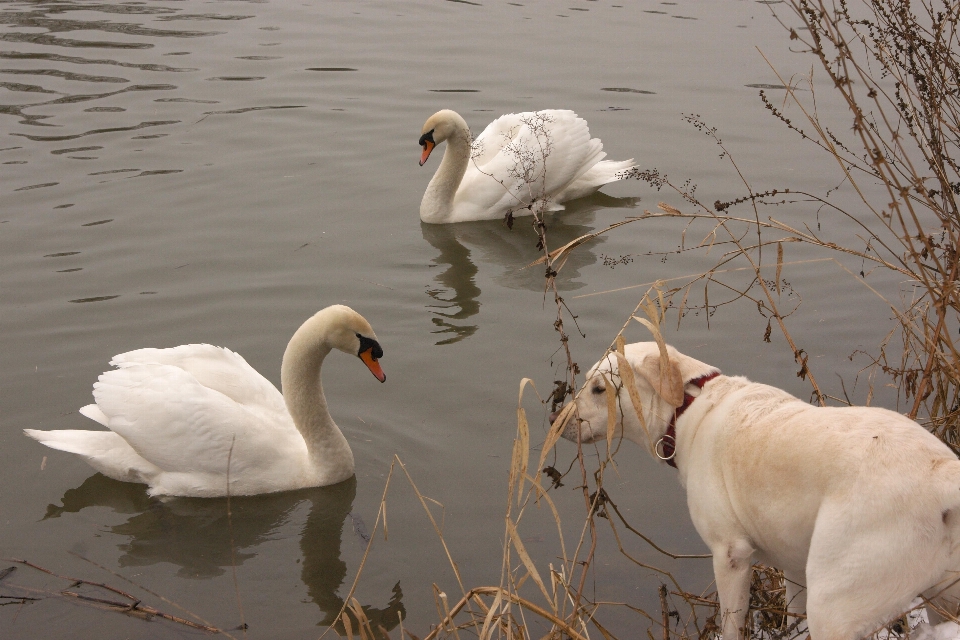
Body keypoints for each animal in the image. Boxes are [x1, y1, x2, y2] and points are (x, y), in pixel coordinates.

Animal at [552, 342, 960, 640]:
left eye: (599, 389)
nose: (557, 423)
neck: (689, 407)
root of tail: (941, 472)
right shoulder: (792, 560)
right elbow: (793, 613)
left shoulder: (730, 554)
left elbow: (732, 622)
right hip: (943, 589)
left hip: (838, 602)